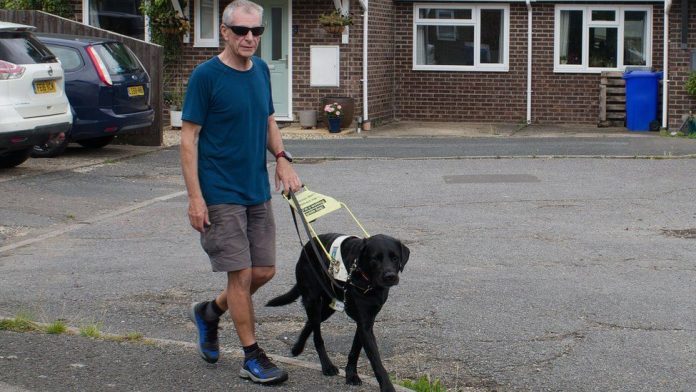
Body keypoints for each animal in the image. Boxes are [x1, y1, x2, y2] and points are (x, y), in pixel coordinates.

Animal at [266, 234, 408, 390]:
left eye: (395, 258)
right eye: (374, 259)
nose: (390, 276)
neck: (368, 282)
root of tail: (307, 246)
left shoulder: (366, 322)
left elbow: (355, 351)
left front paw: (351, 374)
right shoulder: (364, 325)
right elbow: (376, 361)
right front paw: (387, 387)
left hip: (328, 306)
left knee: (310, 322)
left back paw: (297, 347)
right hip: (313, 301)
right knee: (317, 336)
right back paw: (326, 366)